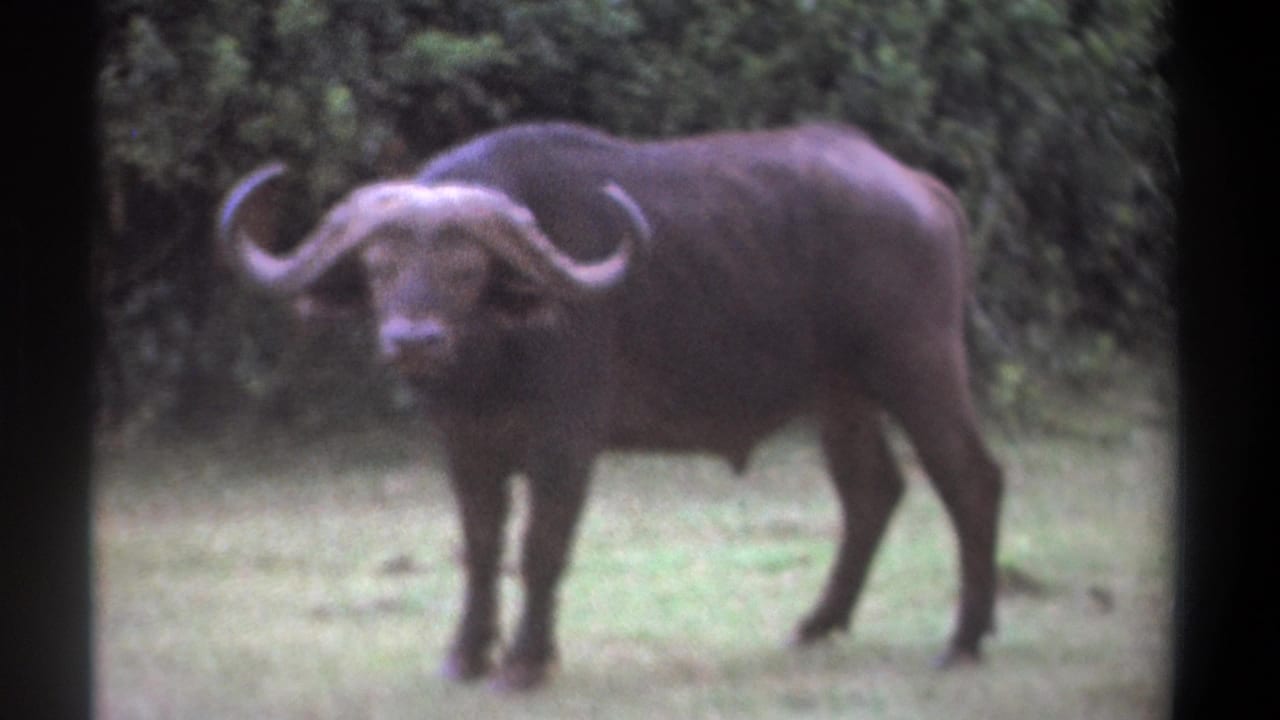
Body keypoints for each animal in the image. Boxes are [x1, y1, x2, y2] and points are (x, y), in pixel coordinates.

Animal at [217, 122, 1003, 691]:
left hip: (920, 366)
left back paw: (964, 641)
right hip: (840, 394)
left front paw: (525, 664)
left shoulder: (566, 442)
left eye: (467, 269)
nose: (414, 339)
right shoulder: (465, 445)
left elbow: (541, 547)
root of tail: (919, 186)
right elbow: (480, 549)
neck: (495, 357)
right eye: (379, 269)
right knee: (872, 490)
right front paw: (465, 657)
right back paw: (817, 625)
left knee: (970, 479)